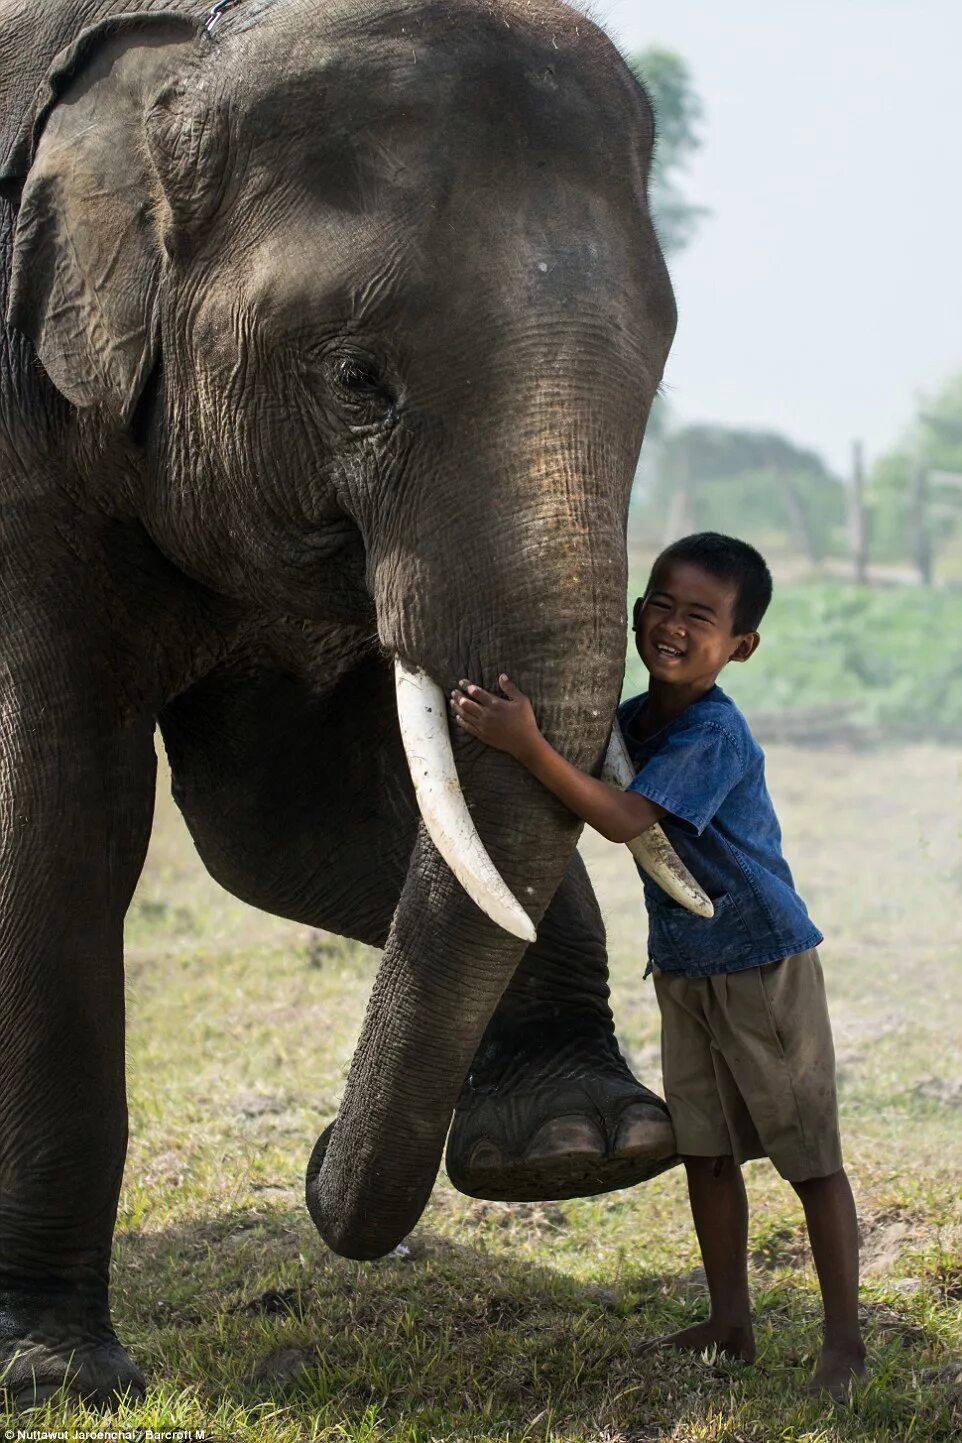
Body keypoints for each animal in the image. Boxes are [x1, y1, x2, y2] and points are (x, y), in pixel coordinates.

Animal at [0, 0, 677, 1408]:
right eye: (359, 378)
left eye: (654, 379)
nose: (313, 1156)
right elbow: (57, 818)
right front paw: (57, 1376)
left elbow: (282, 828)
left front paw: (580, 1145)